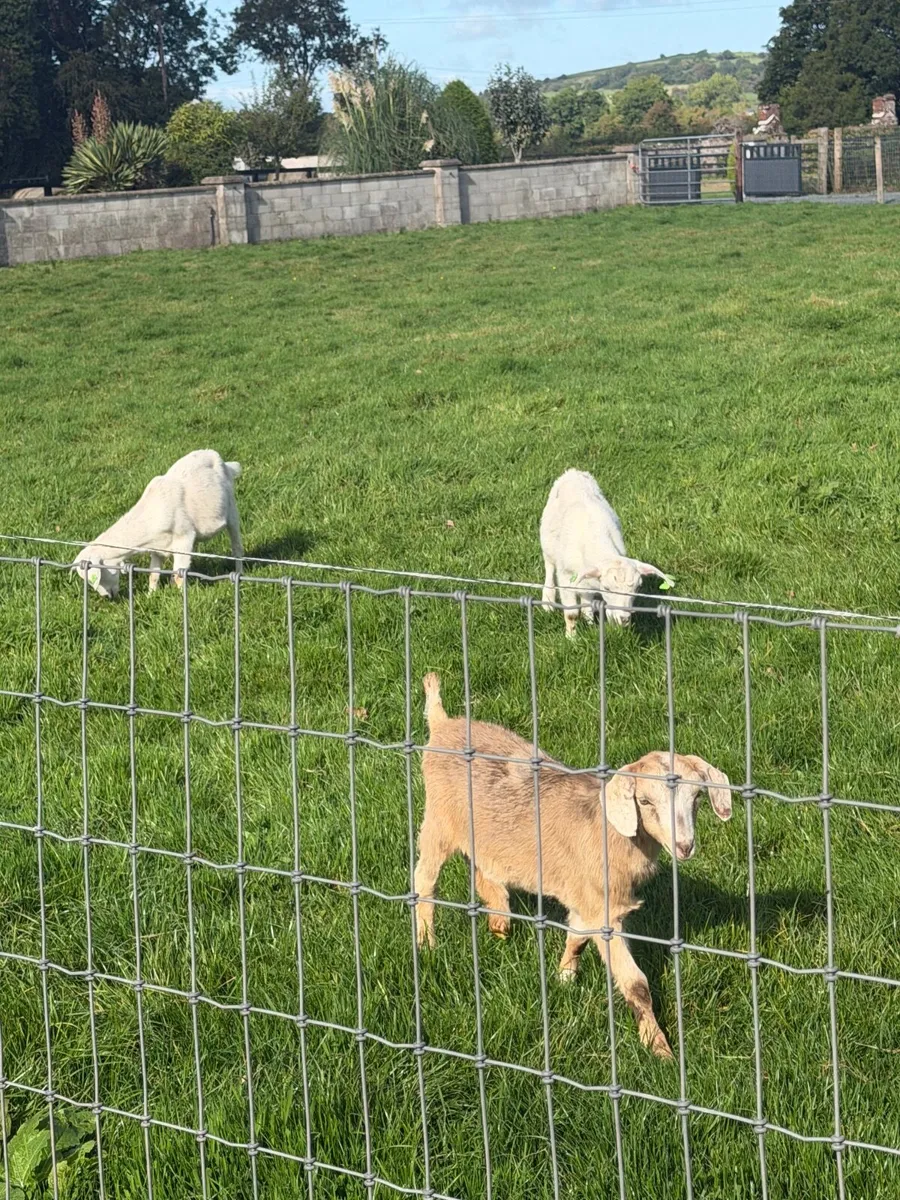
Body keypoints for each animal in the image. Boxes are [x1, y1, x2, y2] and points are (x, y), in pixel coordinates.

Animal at [72, 449, 243, 598]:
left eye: (96, 576)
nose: (107, 596)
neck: (152, 512)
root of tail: (223, 461)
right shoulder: (157, 547)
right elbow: (154, 574)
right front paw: (150, 596)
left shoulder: (184, 537)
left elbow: (180, 575)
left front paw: (181, 598)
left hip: (232, 510)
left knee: (237, 547)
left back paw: (238, 575)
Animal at [414, 672, 731, 1058]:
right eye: (644, 801)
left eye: (697, 797)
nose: (685, 846)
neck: (609, 832)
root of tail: (442, 724)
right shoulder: (604, 908)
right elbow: (635, 983)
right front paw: (660, 1050)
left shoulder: (588, 898)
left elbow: (577, 936)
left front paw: (564, 978)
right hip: (438, 821)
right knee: (424, 879)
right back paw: (427, 941)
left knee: (483, 870)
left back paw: (500, 923)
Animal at [540, 468, 671, 635]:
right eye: (607, 588)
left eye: (638, 588)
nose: (624, 619)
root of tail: (573, 472)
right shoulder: (566, 575)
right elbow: (571, 614)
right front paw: (571, 637)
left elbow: (587, 603)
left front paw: (593, 623)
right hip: (548, 546)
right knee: (550, 569)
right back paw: (548, 602)